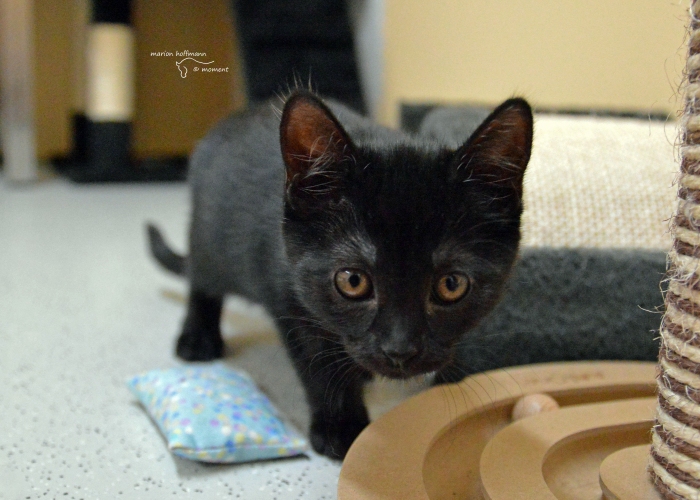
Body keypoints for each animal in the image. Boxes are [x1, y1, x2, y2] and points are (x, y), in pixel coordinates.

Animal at [148, 92, 532, 458]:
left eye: (451, 284)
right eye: (353, 281)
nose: (400, 350)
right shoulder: (289, 297)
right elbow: (320, 363)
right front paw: (341, 428)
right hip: (208, 238)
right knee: (201, 278)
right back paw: (197, 336)